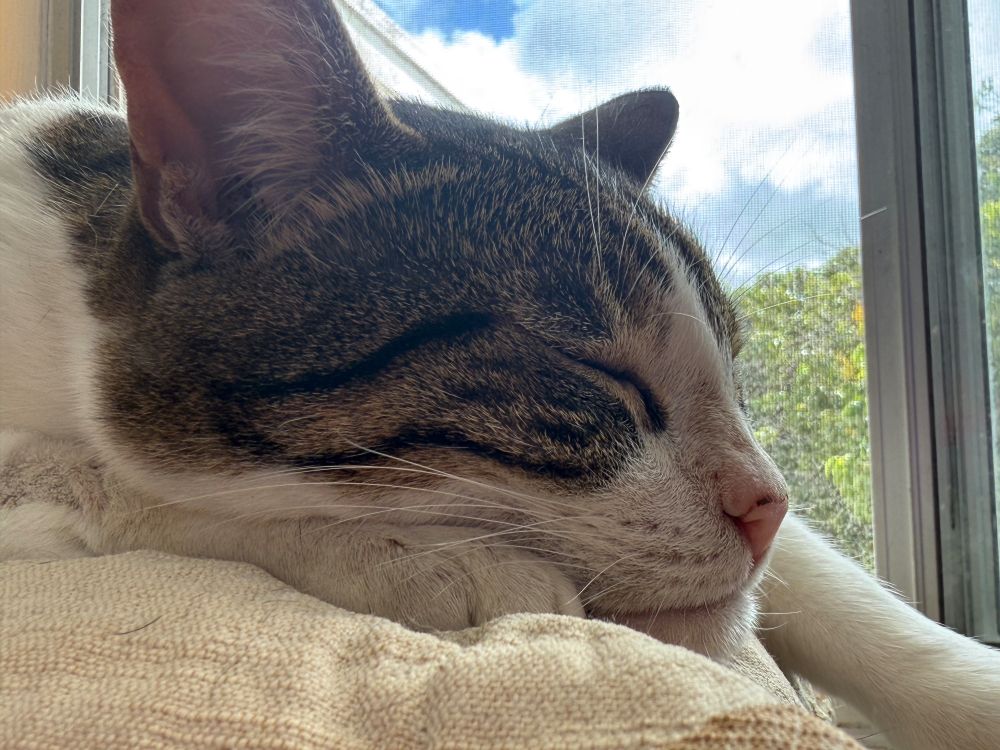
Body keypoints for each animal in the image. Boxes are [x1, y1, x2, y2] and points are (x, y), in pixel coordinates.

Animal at [0, 0, 997, 748]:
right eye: (594, 370)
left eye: (736, 375)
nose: (768, 503)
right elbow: (106, 483)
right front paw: (425, 554)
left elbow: (842, 594)